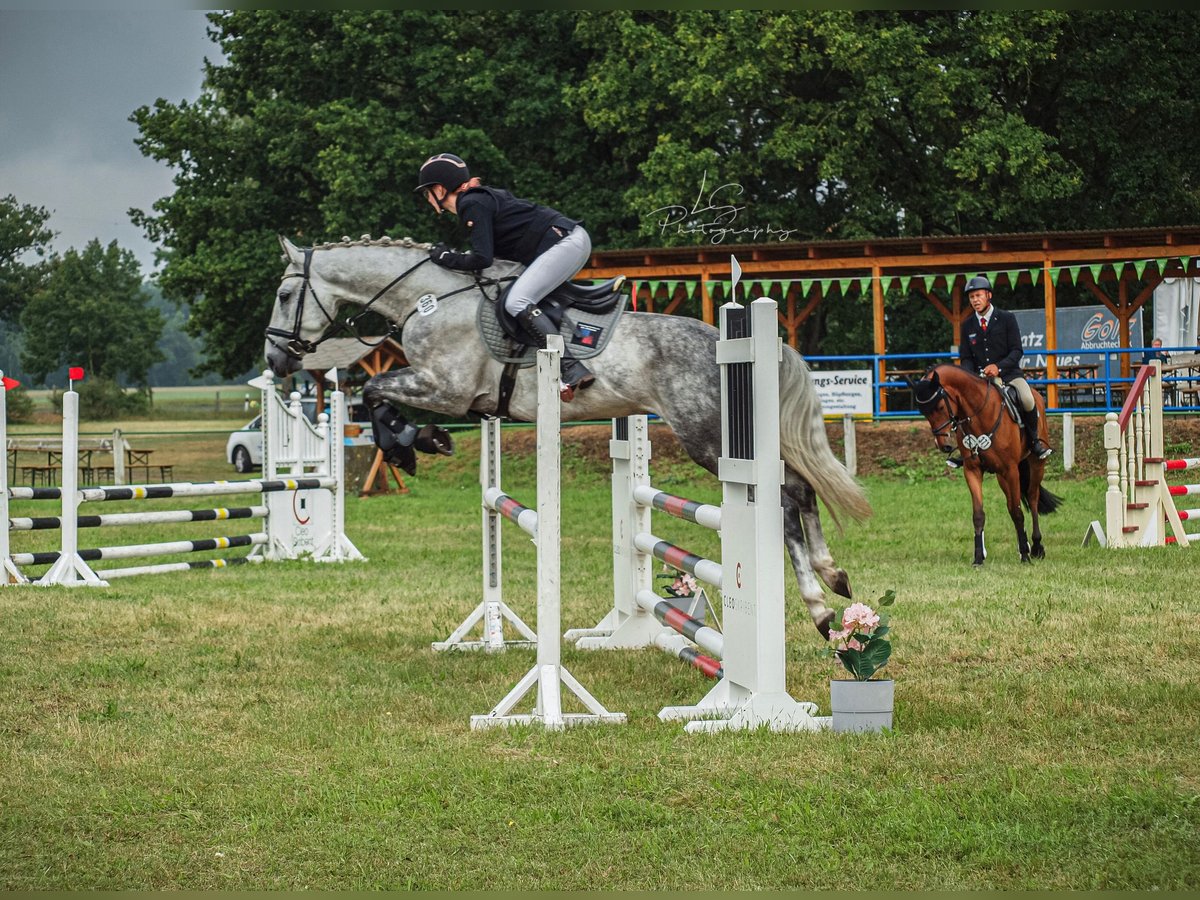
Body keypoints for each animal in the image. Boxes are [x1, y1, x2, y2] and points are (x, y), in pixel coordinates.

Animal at [265, 236, 873, 638]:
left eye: (285, 296)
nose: (275, 358)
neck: (431, 299)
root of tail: (731, 343)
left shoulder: (445, 388)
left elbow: (374, 393)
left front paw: (413, 444)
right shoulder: (455, 396)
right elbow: (377, 396)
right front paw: (425, 442)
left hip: (709, 439)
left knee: (783, 499)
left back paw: (820, 608)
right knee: (802, 490)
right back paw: (834, 576)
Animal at [907, 364, 1060, 564]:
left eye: (940, 407)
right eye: (923, 412)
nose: (943, 445)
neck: (979, 414)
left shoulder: (1010, 469)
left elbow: (1017, 512)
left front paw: (1026, 557)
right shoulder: (973, 470)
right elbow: (979, 514)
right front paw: (979, 557)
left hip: (1035, 464)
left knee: (1032, 498)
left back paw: (1035, 547)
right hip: (1002, 477)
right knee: (1012, 500)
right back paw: (1024, 546)